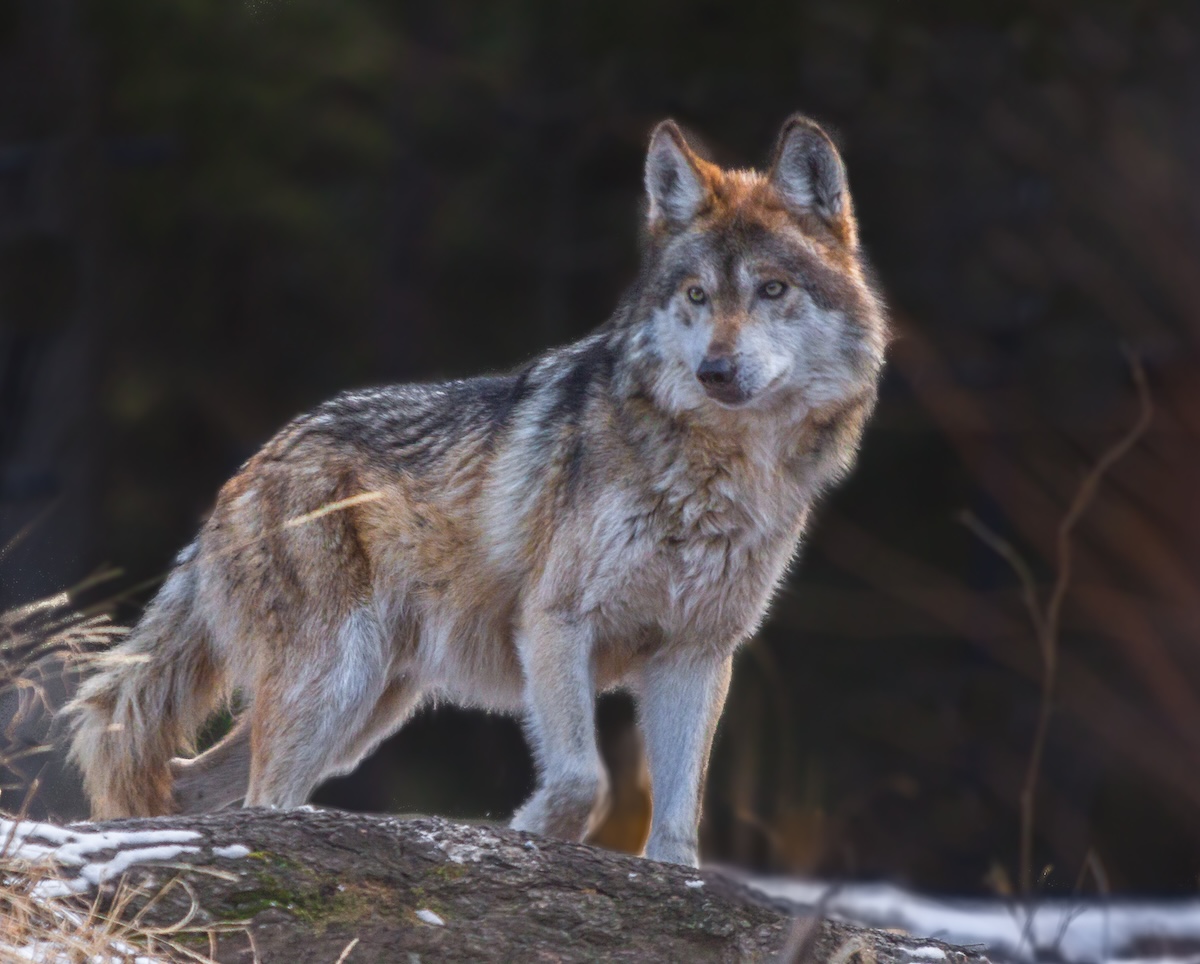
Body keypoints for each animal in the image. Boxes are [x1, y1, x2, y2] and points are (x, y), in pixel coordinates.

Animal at [66, 115, 887, 867]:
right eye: (695, 295)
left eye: (772, 290)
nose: (715, 371)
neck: (716, 474)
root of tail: (244, 473)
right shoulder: (555, 623)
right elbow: (583, 781)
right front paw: (524, 834)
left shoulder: (695, 654)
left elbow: (680, 827)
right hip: (336, 684)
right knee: (257, 792)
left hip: (366, 707)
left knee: (193, 781)